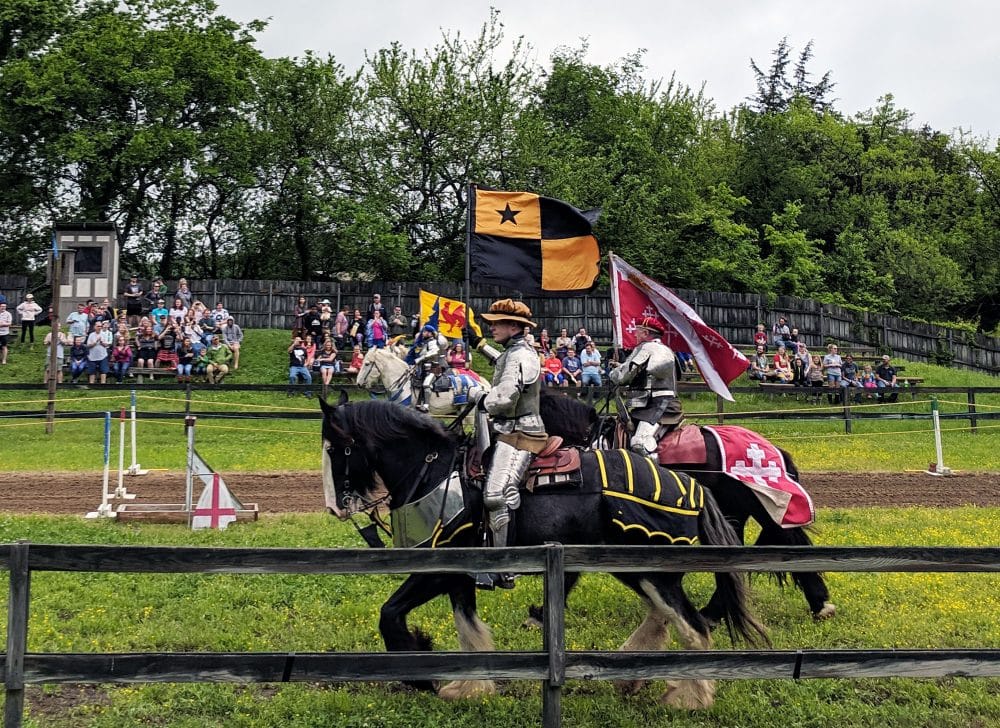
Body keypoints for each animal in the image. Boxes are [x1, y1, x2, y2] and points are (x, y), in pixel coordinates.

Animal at [320, 392, 768, 709]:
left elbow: (390, 614)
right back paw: (632, 676)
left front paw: (422, 674)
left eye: (336, 448)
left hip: (652, 570)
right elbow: (467, 628)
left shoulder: (439, 569)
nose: (335, 507)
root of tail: (692, 488)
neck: (434, 471)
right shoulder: (461, 574)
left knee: (692, 625)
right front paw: (468, 686)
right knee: (662, 615)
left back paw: (689, 697)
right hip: (635, 568)